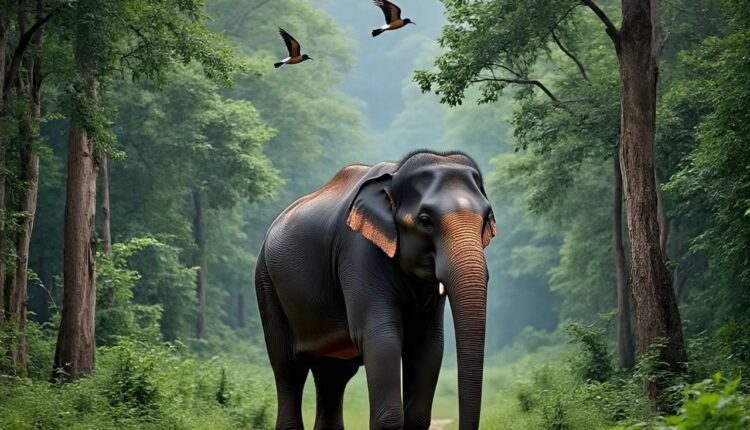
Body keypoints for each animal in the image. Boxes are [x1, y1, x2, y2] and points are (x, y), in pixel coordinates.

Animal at [255, 150, 496, 430]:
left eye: (486, 218)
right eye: (425, 221)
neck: (394, 176)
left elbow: (428, 344)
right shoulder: (357, 251)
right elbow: (381, 337)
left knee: (333, 375)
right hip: (266, 284)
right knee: (287, 367)